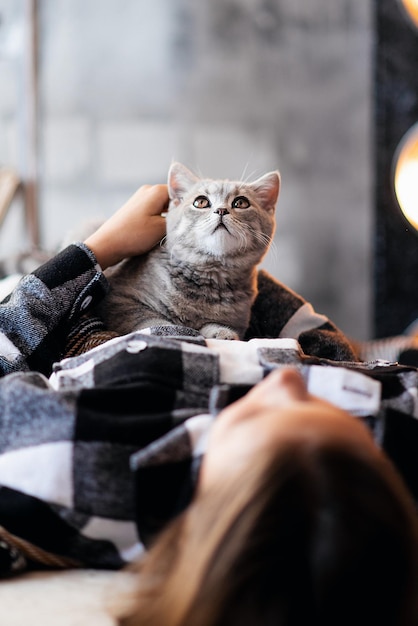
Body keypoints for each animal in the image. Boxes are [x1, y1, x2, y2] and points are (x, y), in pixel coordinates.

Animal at [100, 158, 280, 338]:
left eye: (241, 203)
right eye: (201, 202)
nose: (221, 210)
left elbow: (212, 324)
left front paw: (222, 333)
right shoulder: (120, 300)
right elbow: (150, 320)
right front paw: (171, 331)